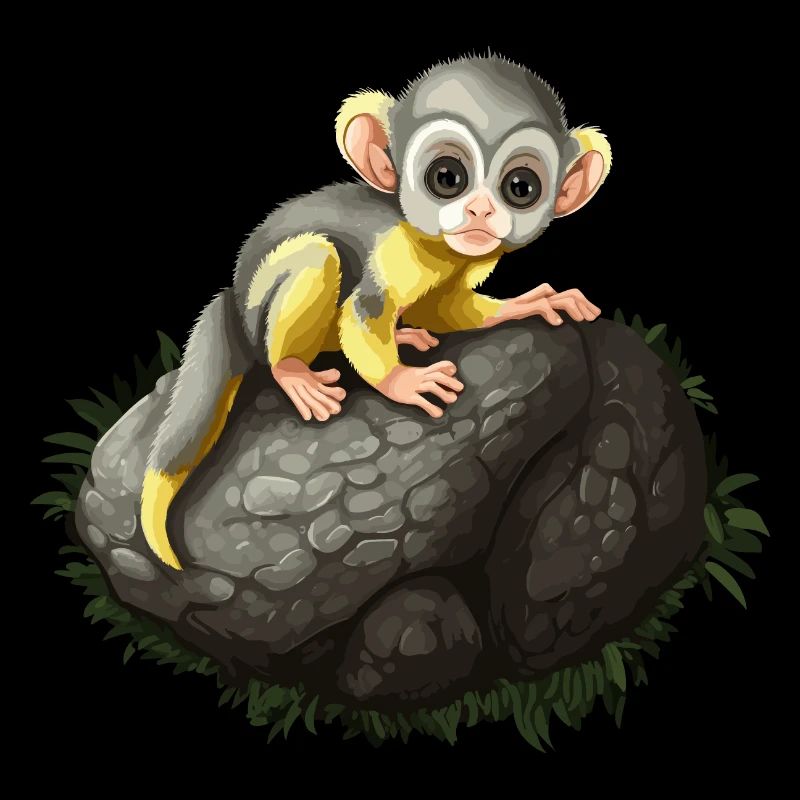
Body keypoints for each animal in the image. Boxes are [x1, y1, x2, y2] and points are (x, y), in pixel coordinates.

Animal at [141, 54, 612, 571]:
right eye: (447, 177)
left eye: (521, 187)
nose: (481, 213)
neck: (430, 244)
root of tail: (233, 299)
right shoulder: (392, 252)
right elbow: (364, 312)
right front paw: (405, 382)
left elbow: (444, 309)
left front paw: (529, 303)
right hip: (257, 311)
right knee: (317, 257)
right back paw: (292, 370)